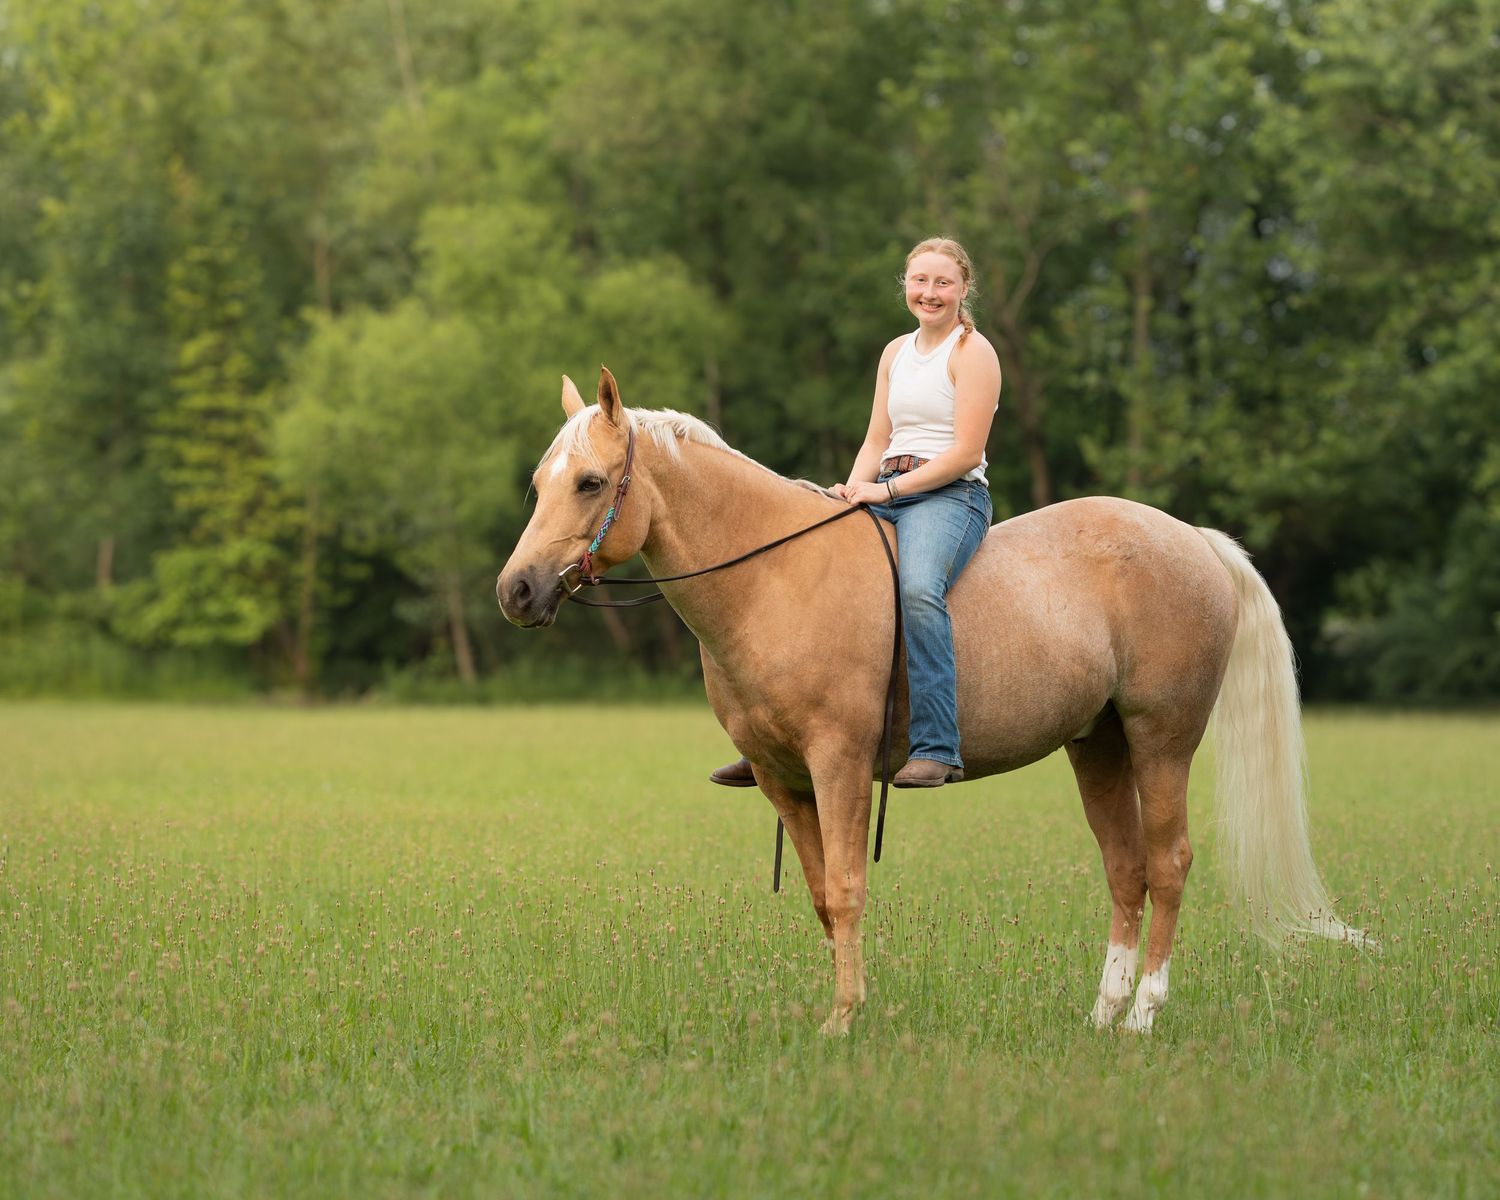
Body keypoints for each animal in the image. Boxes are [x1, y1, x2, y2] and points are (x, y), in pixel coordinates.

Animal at [497, 367, 1367, 1035]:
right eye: (540, 485)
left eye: (590, 482)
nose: (517, 591)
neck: (772, 579)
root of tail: (1192, 539)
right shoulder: (782, 778)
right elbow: (823, 896)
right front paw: (847, 1006)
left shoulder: (839, 764)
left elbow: (848, 890)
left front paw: (843, 1021)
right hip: (1099, 744)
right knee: (1126, 870)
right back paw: (1103, 1014)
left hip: (1163, 739)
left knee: (1169, 863)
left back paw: (1145, 1016)